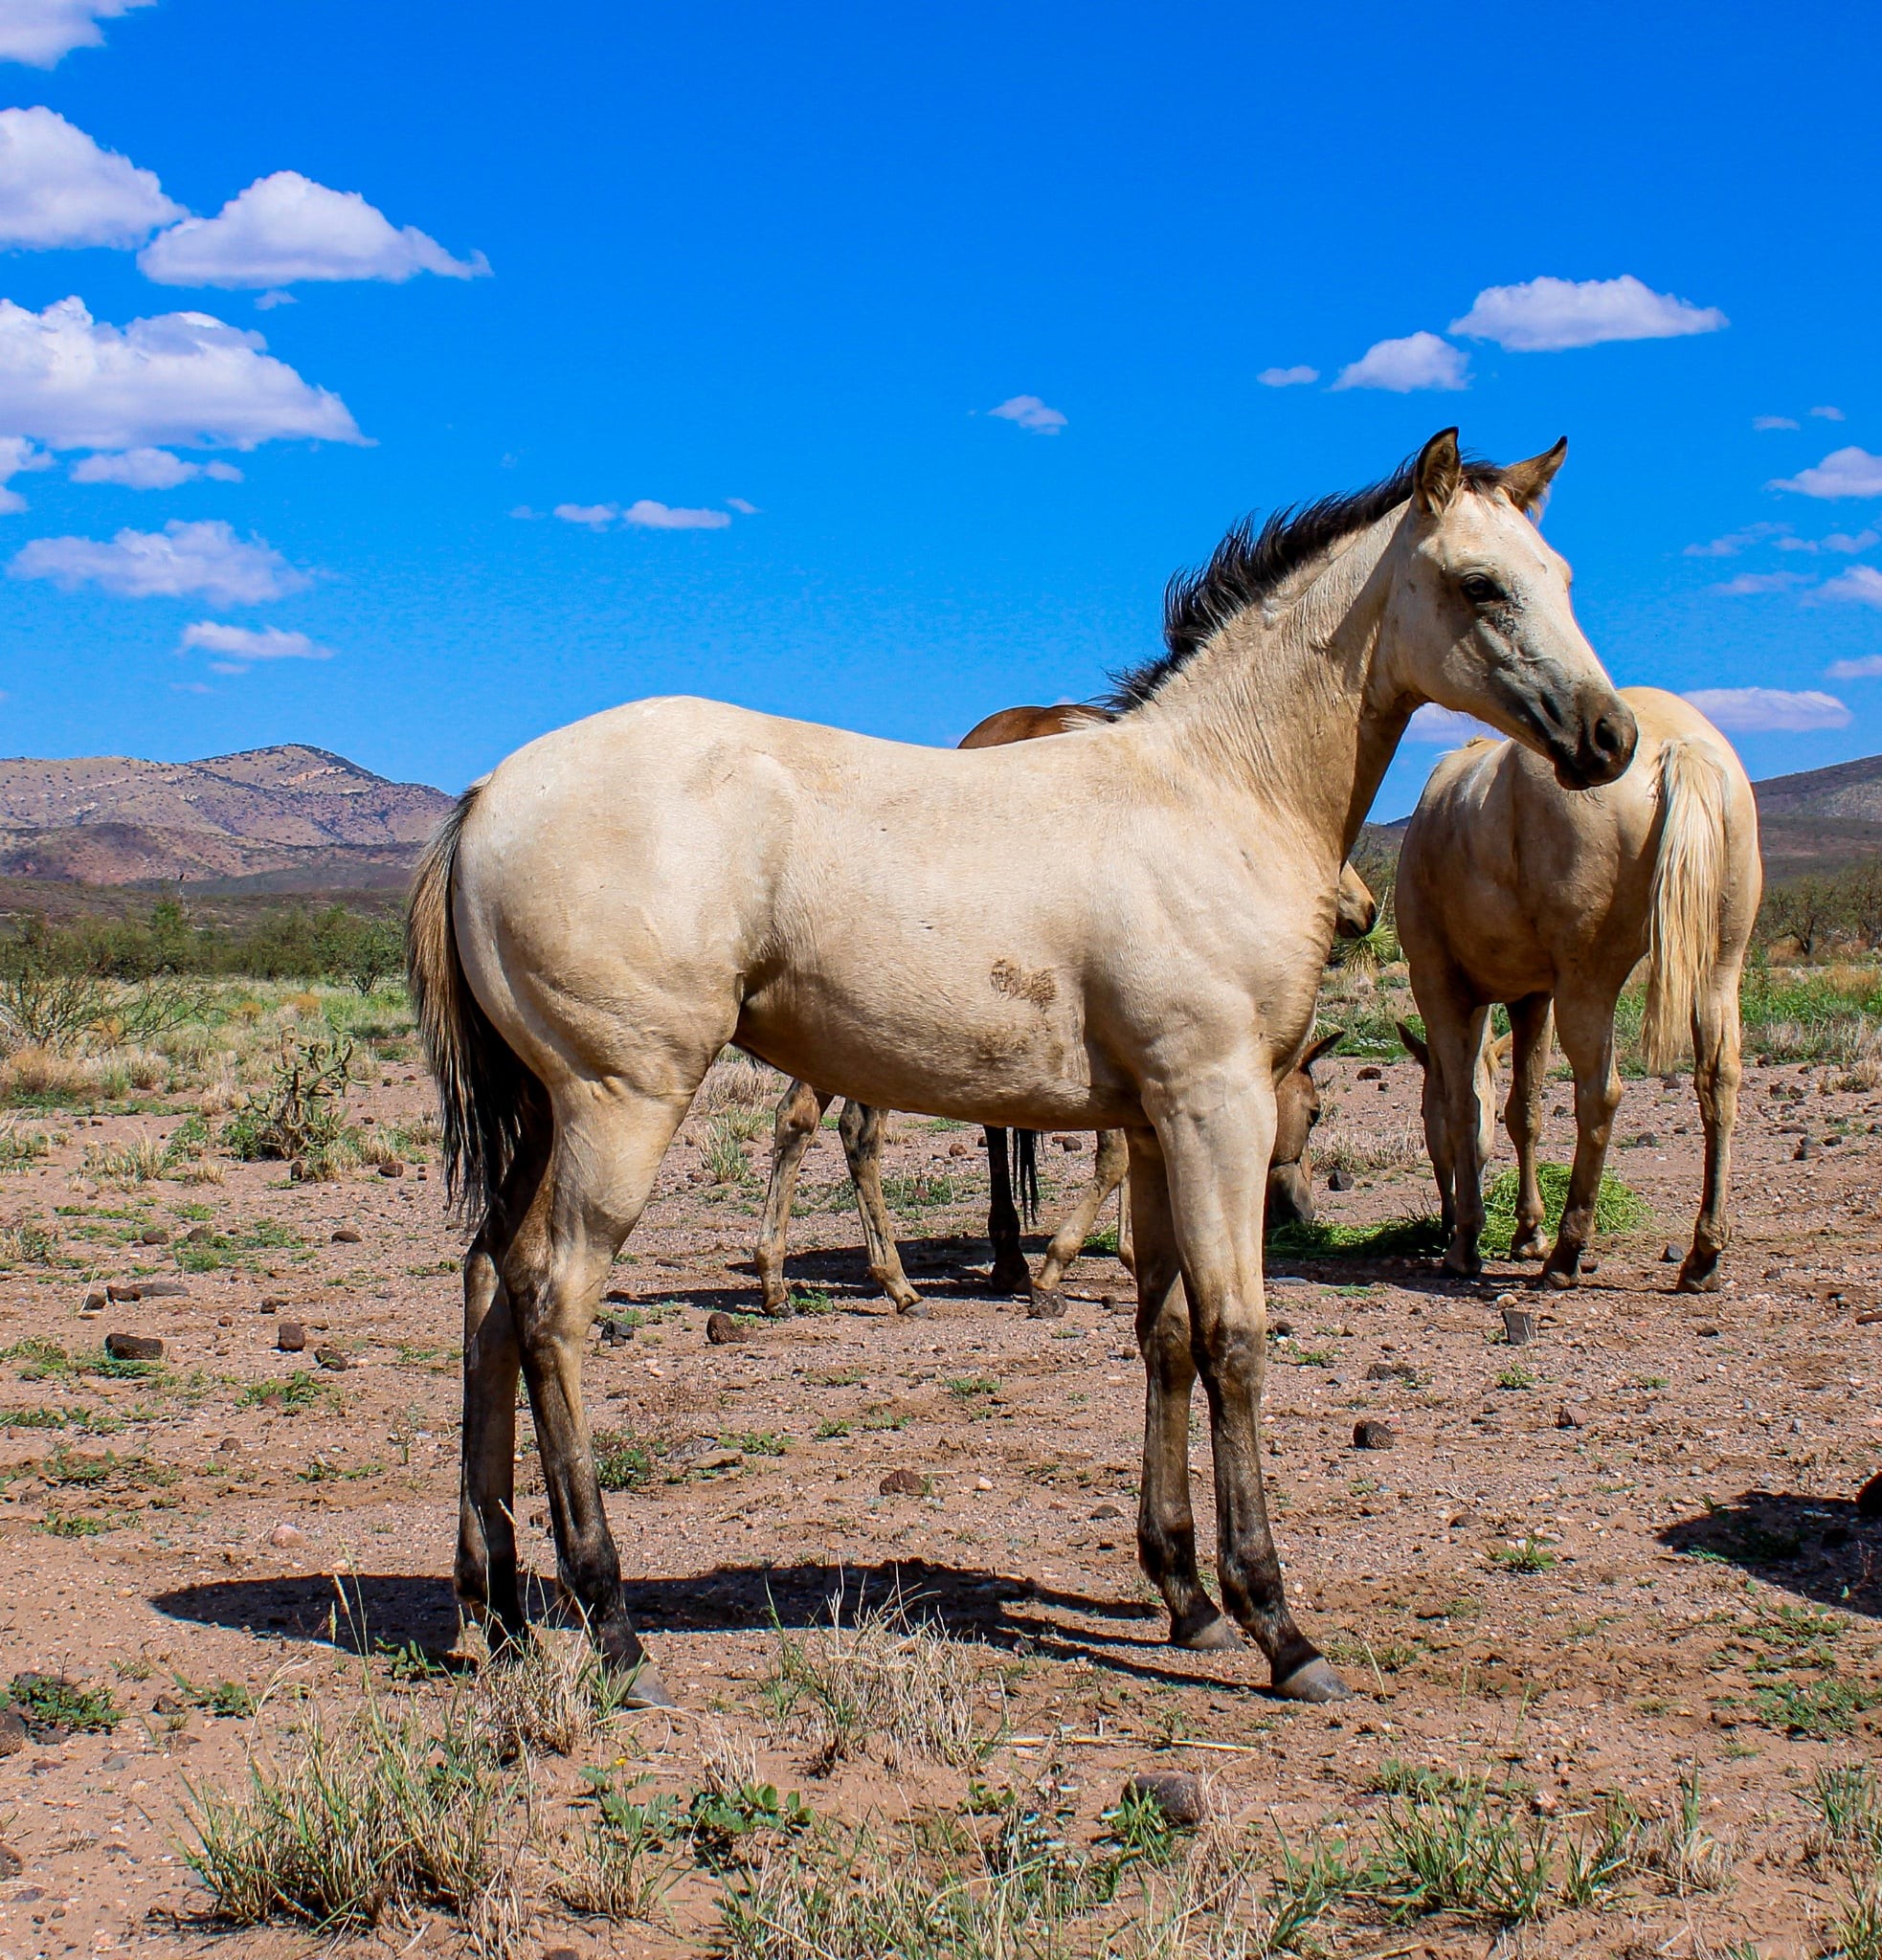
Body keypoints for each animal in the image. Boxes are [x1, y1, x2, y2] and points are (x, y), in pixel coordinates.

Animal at [754, 697, 1377, 1317]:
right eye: (1316, 1111)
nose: (1300, 1212)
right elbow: (1116, 1155)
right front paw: (1078, 1264)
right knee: (858, 1129)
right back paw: (900, 1283)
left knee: (800, 1115)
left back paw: (781, 1280)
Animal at [1393, 687, 1758, 1290]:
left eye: (1421, 1118)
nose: (1443, 1222)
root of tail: (1680, 746)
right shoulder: (1531, 998)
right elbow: (1523, 1112)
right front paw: (1526, 1231)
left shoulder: (1442, 988)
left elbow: (1466, 1105)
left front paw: (1468, 1241)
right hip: (1718, 971)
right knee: (1719, 1082)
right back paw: (1702, 1255)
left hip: (1588, 982)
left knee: (1600, 1093)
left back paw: (1567, 1252)